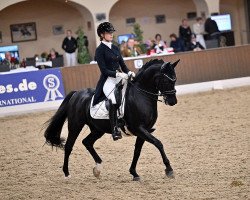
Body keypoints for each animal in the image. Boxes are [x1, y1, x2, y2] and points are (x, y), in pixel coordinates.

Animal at [43, 58, 180, 180]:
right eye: (166, 81)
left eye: (175, 79)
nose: (173, 101)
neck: (141, 95)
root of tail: (76, 94)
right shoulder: (139, 128)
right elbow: (158, 143)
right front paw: (169, 170)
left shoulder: (144, 130)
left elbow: (137, 151)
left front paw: (134, 173)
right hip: (75, 126)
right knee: (69, 146)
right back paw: (67, 173)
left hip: (98, 129)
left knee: (87, 142)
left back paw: (97, 168)